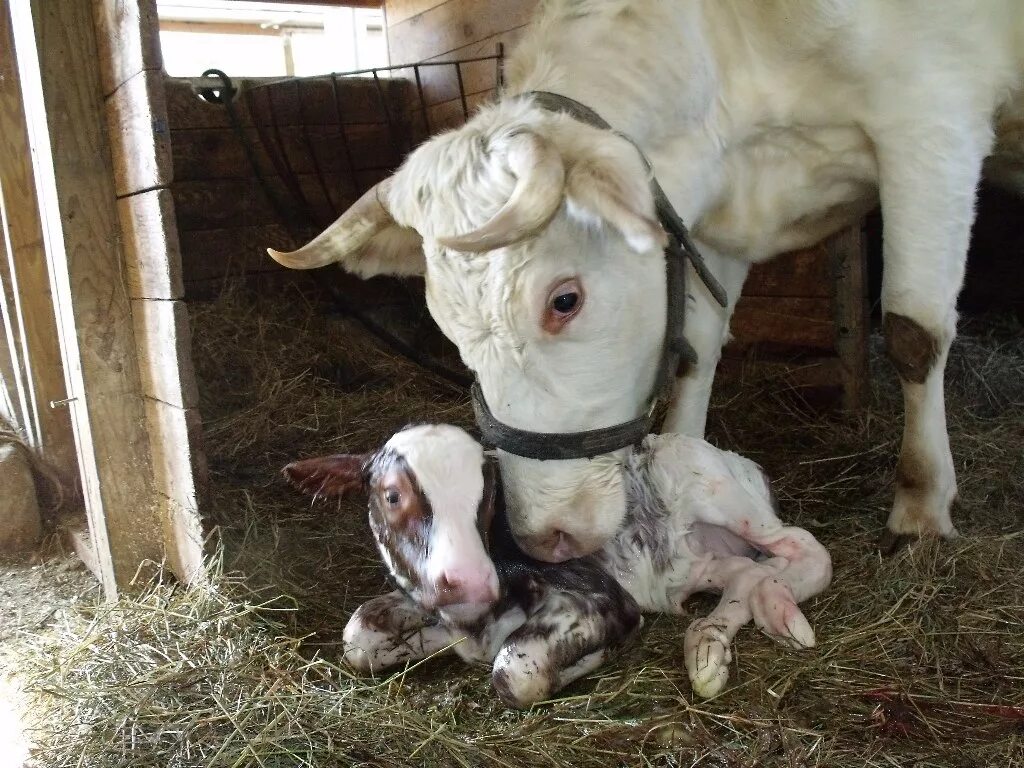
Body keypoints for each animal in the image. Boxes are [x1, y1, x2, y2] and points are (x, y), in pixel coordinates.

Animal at [270, 1, 1024, 565]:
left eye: (564, 301)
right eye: (448, 331)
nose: (544, 538)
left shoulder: (930, 121)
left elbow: (912, 331)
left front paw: (922, 504)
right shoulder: (710, 213)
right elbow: (697, 346)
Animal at [282, 423, 831, 708]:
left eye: (488, 496)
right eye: (392, 495)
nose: (469, 581)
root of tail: (742, 460)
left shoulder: (597, 594)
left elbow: (515, 670)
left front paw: (595, 655)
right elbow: (358, 638)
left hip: (717, 492)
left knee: (804, 550)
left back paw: (781, 615)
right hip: (692, 560)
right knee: (743, 572)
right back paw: (708, 653)